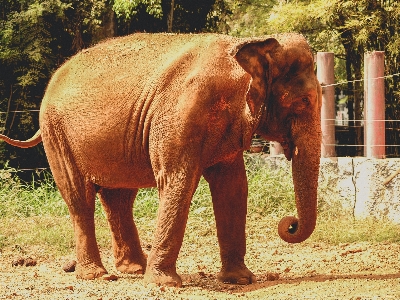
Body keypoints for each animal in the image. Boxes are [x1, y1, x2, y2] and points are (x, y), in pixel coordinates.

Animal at [0, 31, 320, 288]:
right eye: (303, 102)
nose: (289, 224)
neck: (242, 50)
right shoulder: (180, 115)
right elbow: (177, 182)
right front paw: (165, 284)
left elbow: (234, 188)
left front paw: (240, 280)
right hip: (57, 135)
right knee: (80, 198)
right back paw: (98, 276)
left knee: (119, 198)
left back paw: (133, 269)